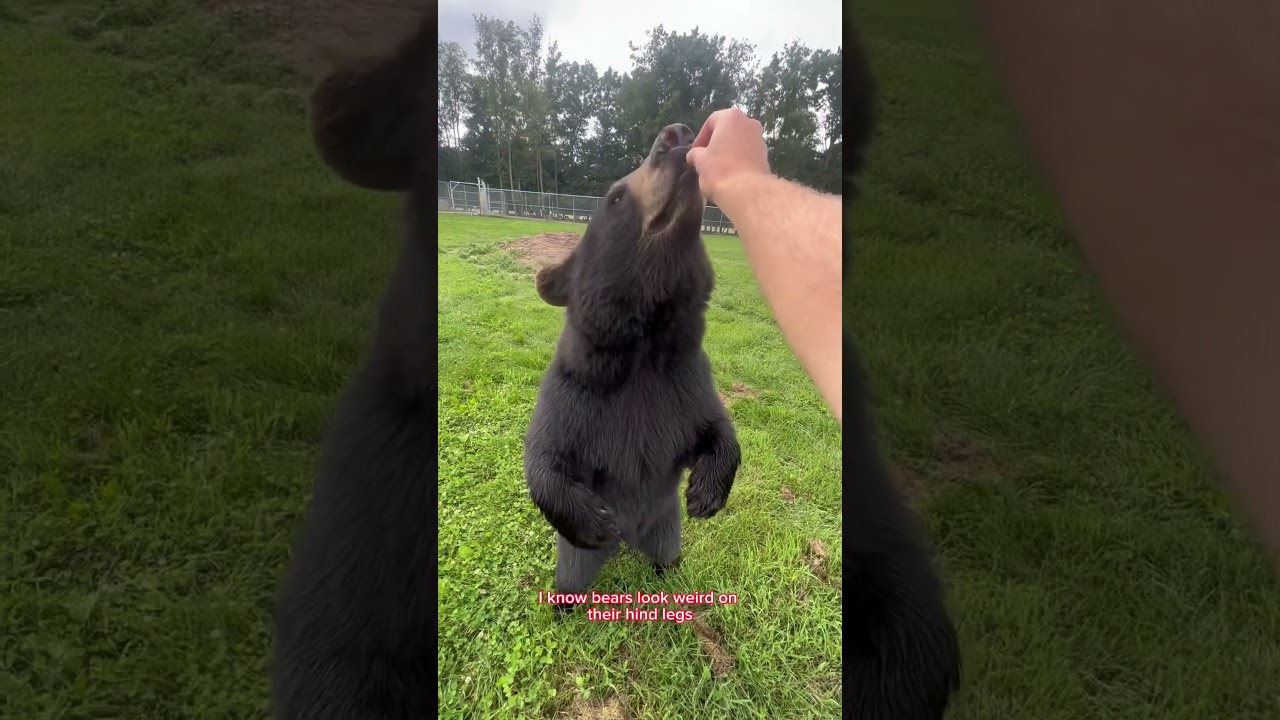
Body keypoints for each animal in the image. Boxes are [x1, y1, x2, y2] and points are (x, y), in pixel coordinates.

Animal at [523, 123, 742, 613]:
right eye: (616, 196)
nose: (676, 135)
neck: (644, 344)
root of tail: (631, 541)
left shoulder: (685, 378)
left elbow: (717, 427)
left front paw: (705, 494)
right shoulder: (578, 389)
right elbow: (546, 455)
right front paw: (597, 519)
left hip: (666, 528)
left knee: (667, 553)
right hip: (576, 558)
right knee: (570, 575)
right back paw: (565, 601)